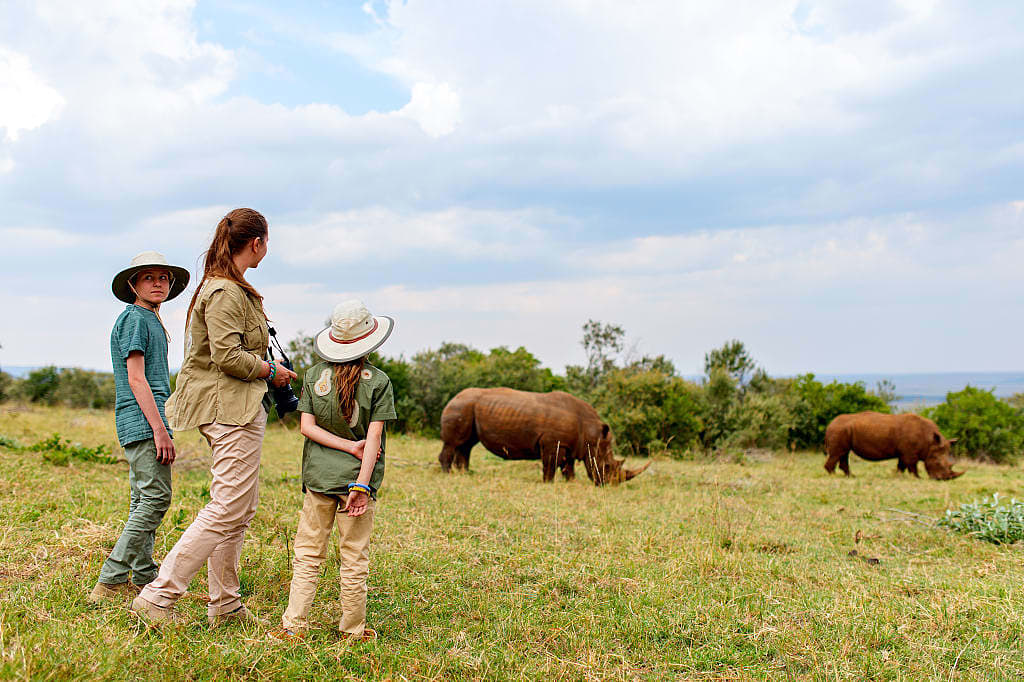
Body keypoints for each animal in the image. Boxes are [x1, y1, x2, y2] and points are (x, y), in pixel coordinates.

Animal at [438, 387, 650, 485]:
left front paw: (571, 483)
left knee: (466, 445)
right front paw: (548, 483)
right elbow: (551, 465)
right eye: (606, 467)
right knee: (454, 443)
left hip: (467, 407)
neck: (591, 432)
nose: (609, 485)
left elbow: (568, 467)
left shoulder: (571, 445)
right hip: (461, 407)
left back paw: (465, 474)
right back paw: (448, 474)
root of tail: (454, 396)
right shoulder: (553, 442)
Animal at [824, 412, 963, 480]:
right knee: (838, 453)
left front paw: (898, 476)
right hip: (839, 429)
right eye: (938, 463)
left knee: (844, 453)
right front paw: (918, 478)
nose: (942, 479)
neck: (929, 442)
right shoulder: (910, 453)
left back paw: (850, 476)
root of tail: (830, 424)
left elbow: (901, 465)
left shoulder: (904, 452)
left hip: (842, 429)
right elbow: (912, 465)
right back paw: (833, 475)